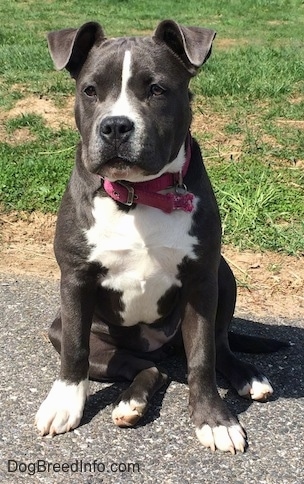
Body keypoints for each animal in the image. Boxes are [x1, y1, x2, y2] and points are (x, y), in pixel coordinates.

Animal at [34, 19, 286, 454]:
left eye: (157, 89)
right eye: (89, 90)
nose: (115, 125)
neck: (138, 195)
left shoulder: (201, 281)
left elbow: (203, 357)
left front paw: (215, 420)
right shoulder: (76, 279)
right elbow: (76, 351)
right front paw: (64, 403)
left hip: (224, 275)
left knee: (219, 344)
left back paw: (248, 377)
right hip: (81, 335)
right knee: (152, 369)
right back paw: (130, 403)